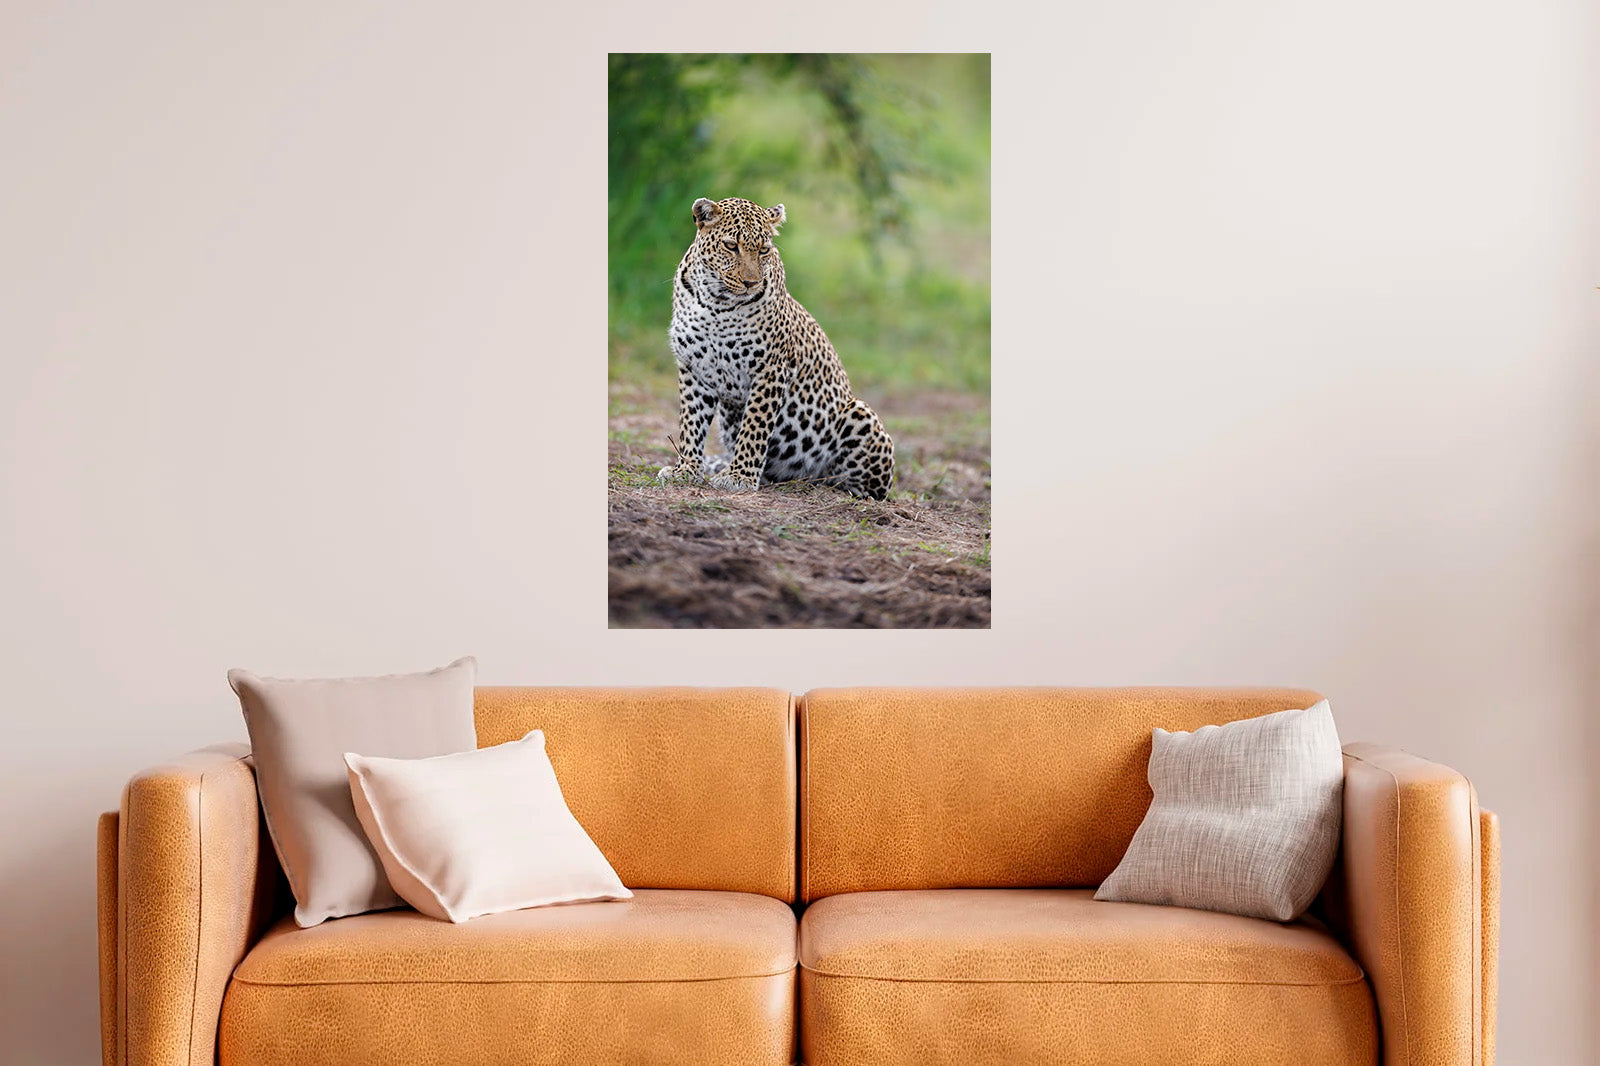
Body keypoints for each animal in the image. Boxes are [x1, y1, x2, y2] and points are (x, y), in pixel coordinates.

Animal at [655, 196, 895, 501]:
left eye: (764, 250)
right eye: (730, 245)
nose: (750, 283)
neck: (716, 303)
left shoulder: (771, 369)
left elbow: (755, 427)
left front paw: (739, 477)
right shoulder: (694, 368)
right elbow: (691, 423)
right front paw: (685, 470)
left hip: (859, 414)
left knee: (867, 486)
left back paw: (832, 488)